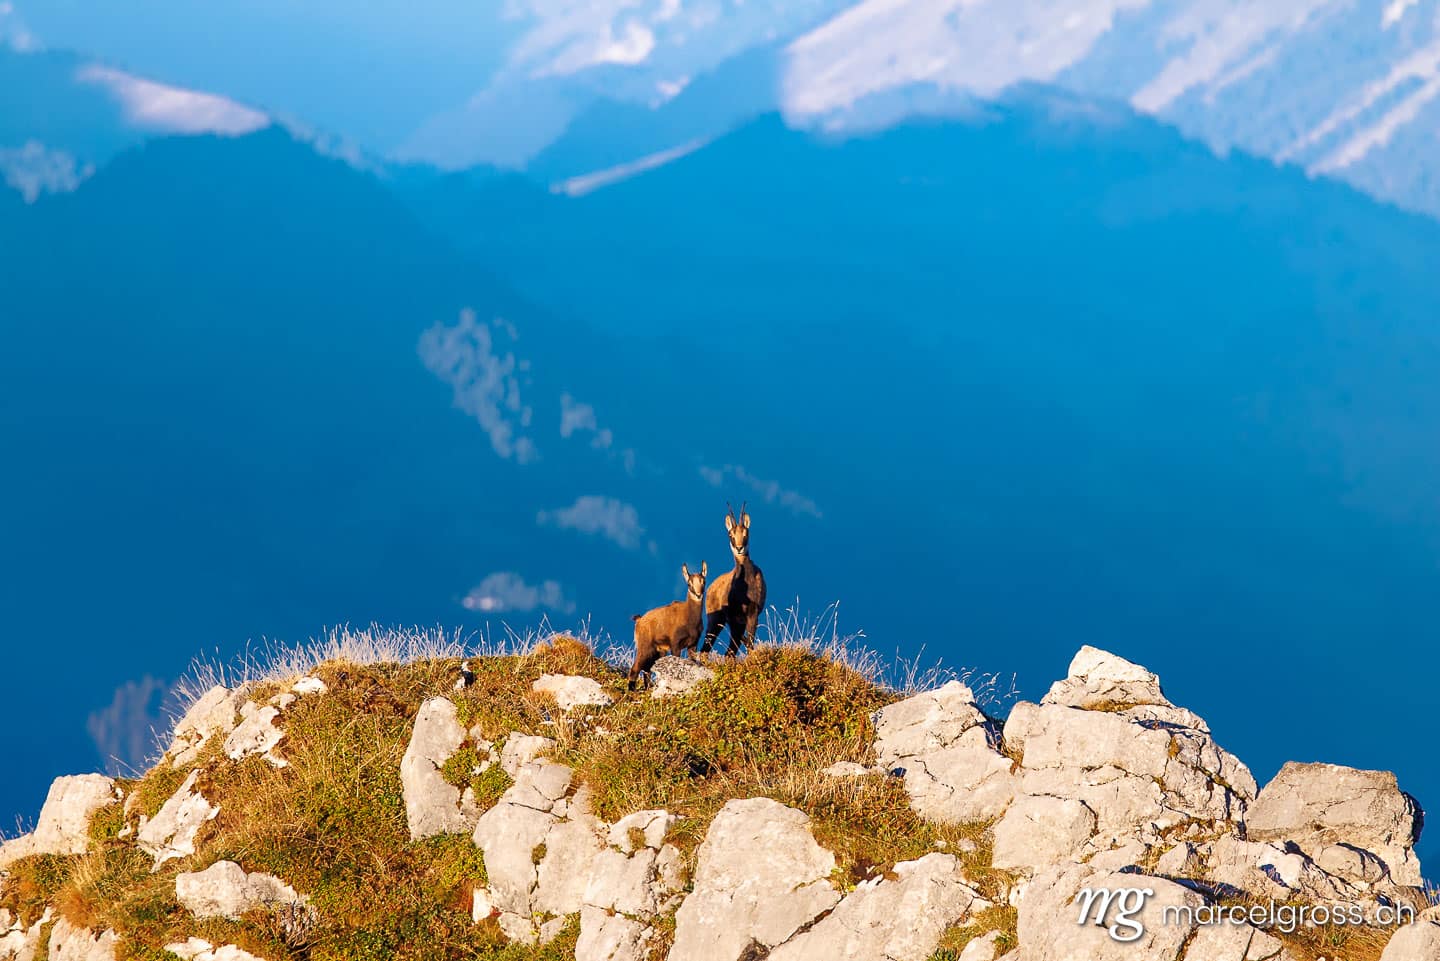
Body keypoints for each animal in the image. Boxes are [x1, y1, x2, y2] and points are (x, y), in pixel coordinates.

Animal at [628, 562, 708, 691]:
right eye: (689, 584)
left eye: (703, 581)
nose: (698, 595)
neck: (690, 619)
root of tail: (639, 620)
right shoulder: (675, 644)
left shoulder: (693, 644)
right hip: (645, 646)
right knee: (636, 667)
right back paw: (632, 690)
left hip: (658, 650)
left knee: (647, 669)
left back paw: (648, 688)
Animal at [701, 503, 767, 657]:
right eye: (730, 535)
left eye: (746, 534)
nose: (739, 548)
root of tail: (711, 587)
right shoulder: (732, 616)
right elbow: (742, 641)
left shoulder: (753, 612)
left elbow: (749, 642)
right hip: (715, 619)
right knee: (708, 647)